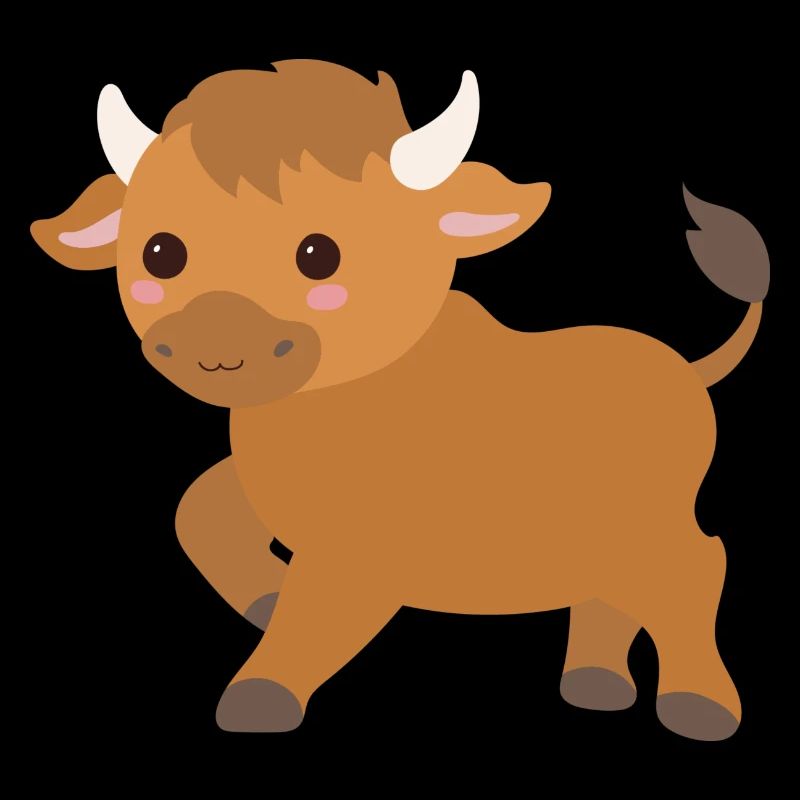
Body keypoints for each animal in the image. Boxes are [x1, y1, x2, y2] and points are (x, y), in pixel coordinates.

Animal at [31, 59, 769, 740]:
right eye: (160, 251)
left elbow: (314, 614)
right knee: (612, 590)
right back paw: (596, 685)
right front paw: (264, 597)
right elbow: (199, 512)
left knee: (694, 569)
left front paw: (259, 695)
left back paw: (699, 706)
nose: (214, 340)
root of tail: (688, 369)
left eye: (319, 253)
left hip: (653, 521)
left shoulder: (360, 551)